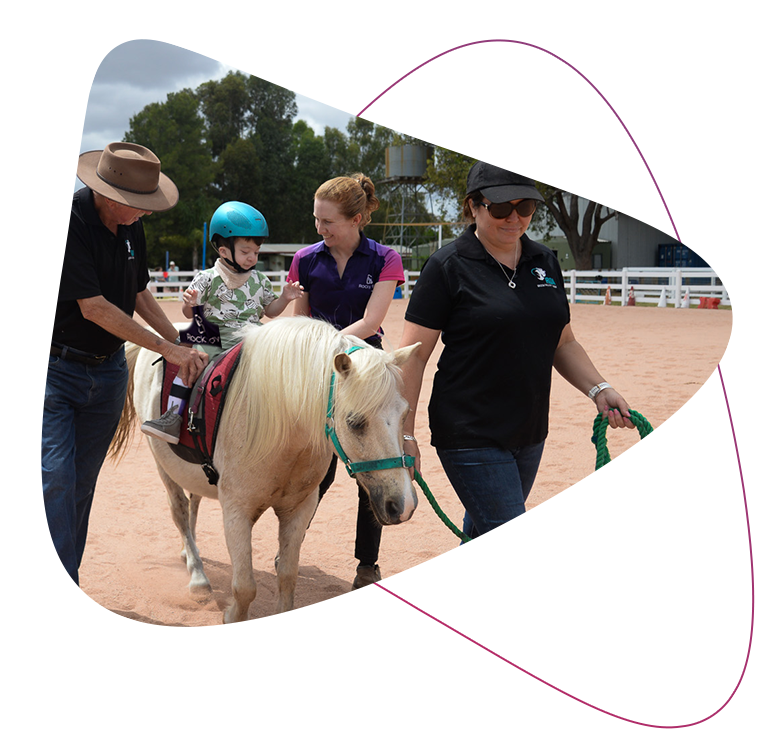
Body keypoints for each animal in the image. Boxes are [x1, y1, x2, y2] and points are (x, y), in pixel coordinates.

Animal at [111, 316, 420, 624]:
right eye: (355, 422)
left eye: (405, 414)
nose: (403, 505)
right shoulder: (236, 511)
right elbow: (245, 587)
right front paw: (231, 615)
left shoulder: (300, 509)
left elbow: (287, 576)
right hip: (163, 465)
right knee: (180, 512)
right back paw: (197, 577)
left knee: (193, 503)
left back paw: (190, 555)